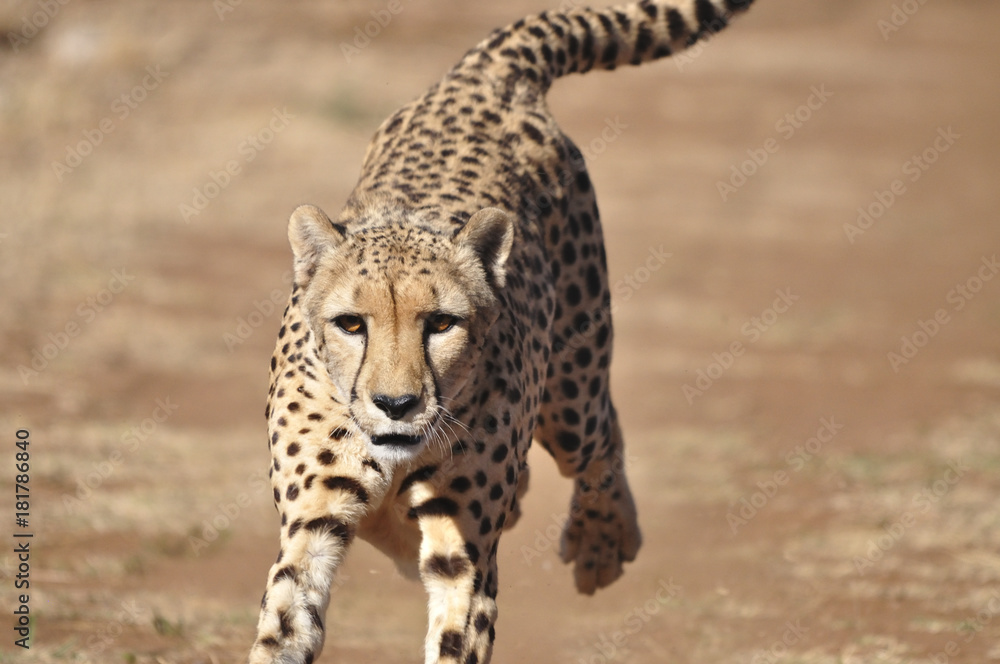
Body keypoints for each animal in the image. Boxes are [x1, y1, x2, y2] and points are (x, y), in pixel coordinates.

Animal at [247, 1, 754, 662]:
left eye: (441, 323)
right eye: (350, 324)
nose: (395, 404)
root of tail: (478, 75)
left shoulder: (464, 555)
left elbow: (456, 632)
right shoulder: (310, 528)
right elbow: (285, 625)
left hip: (572, 385)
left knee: (601, 436)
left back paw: (601, 543)